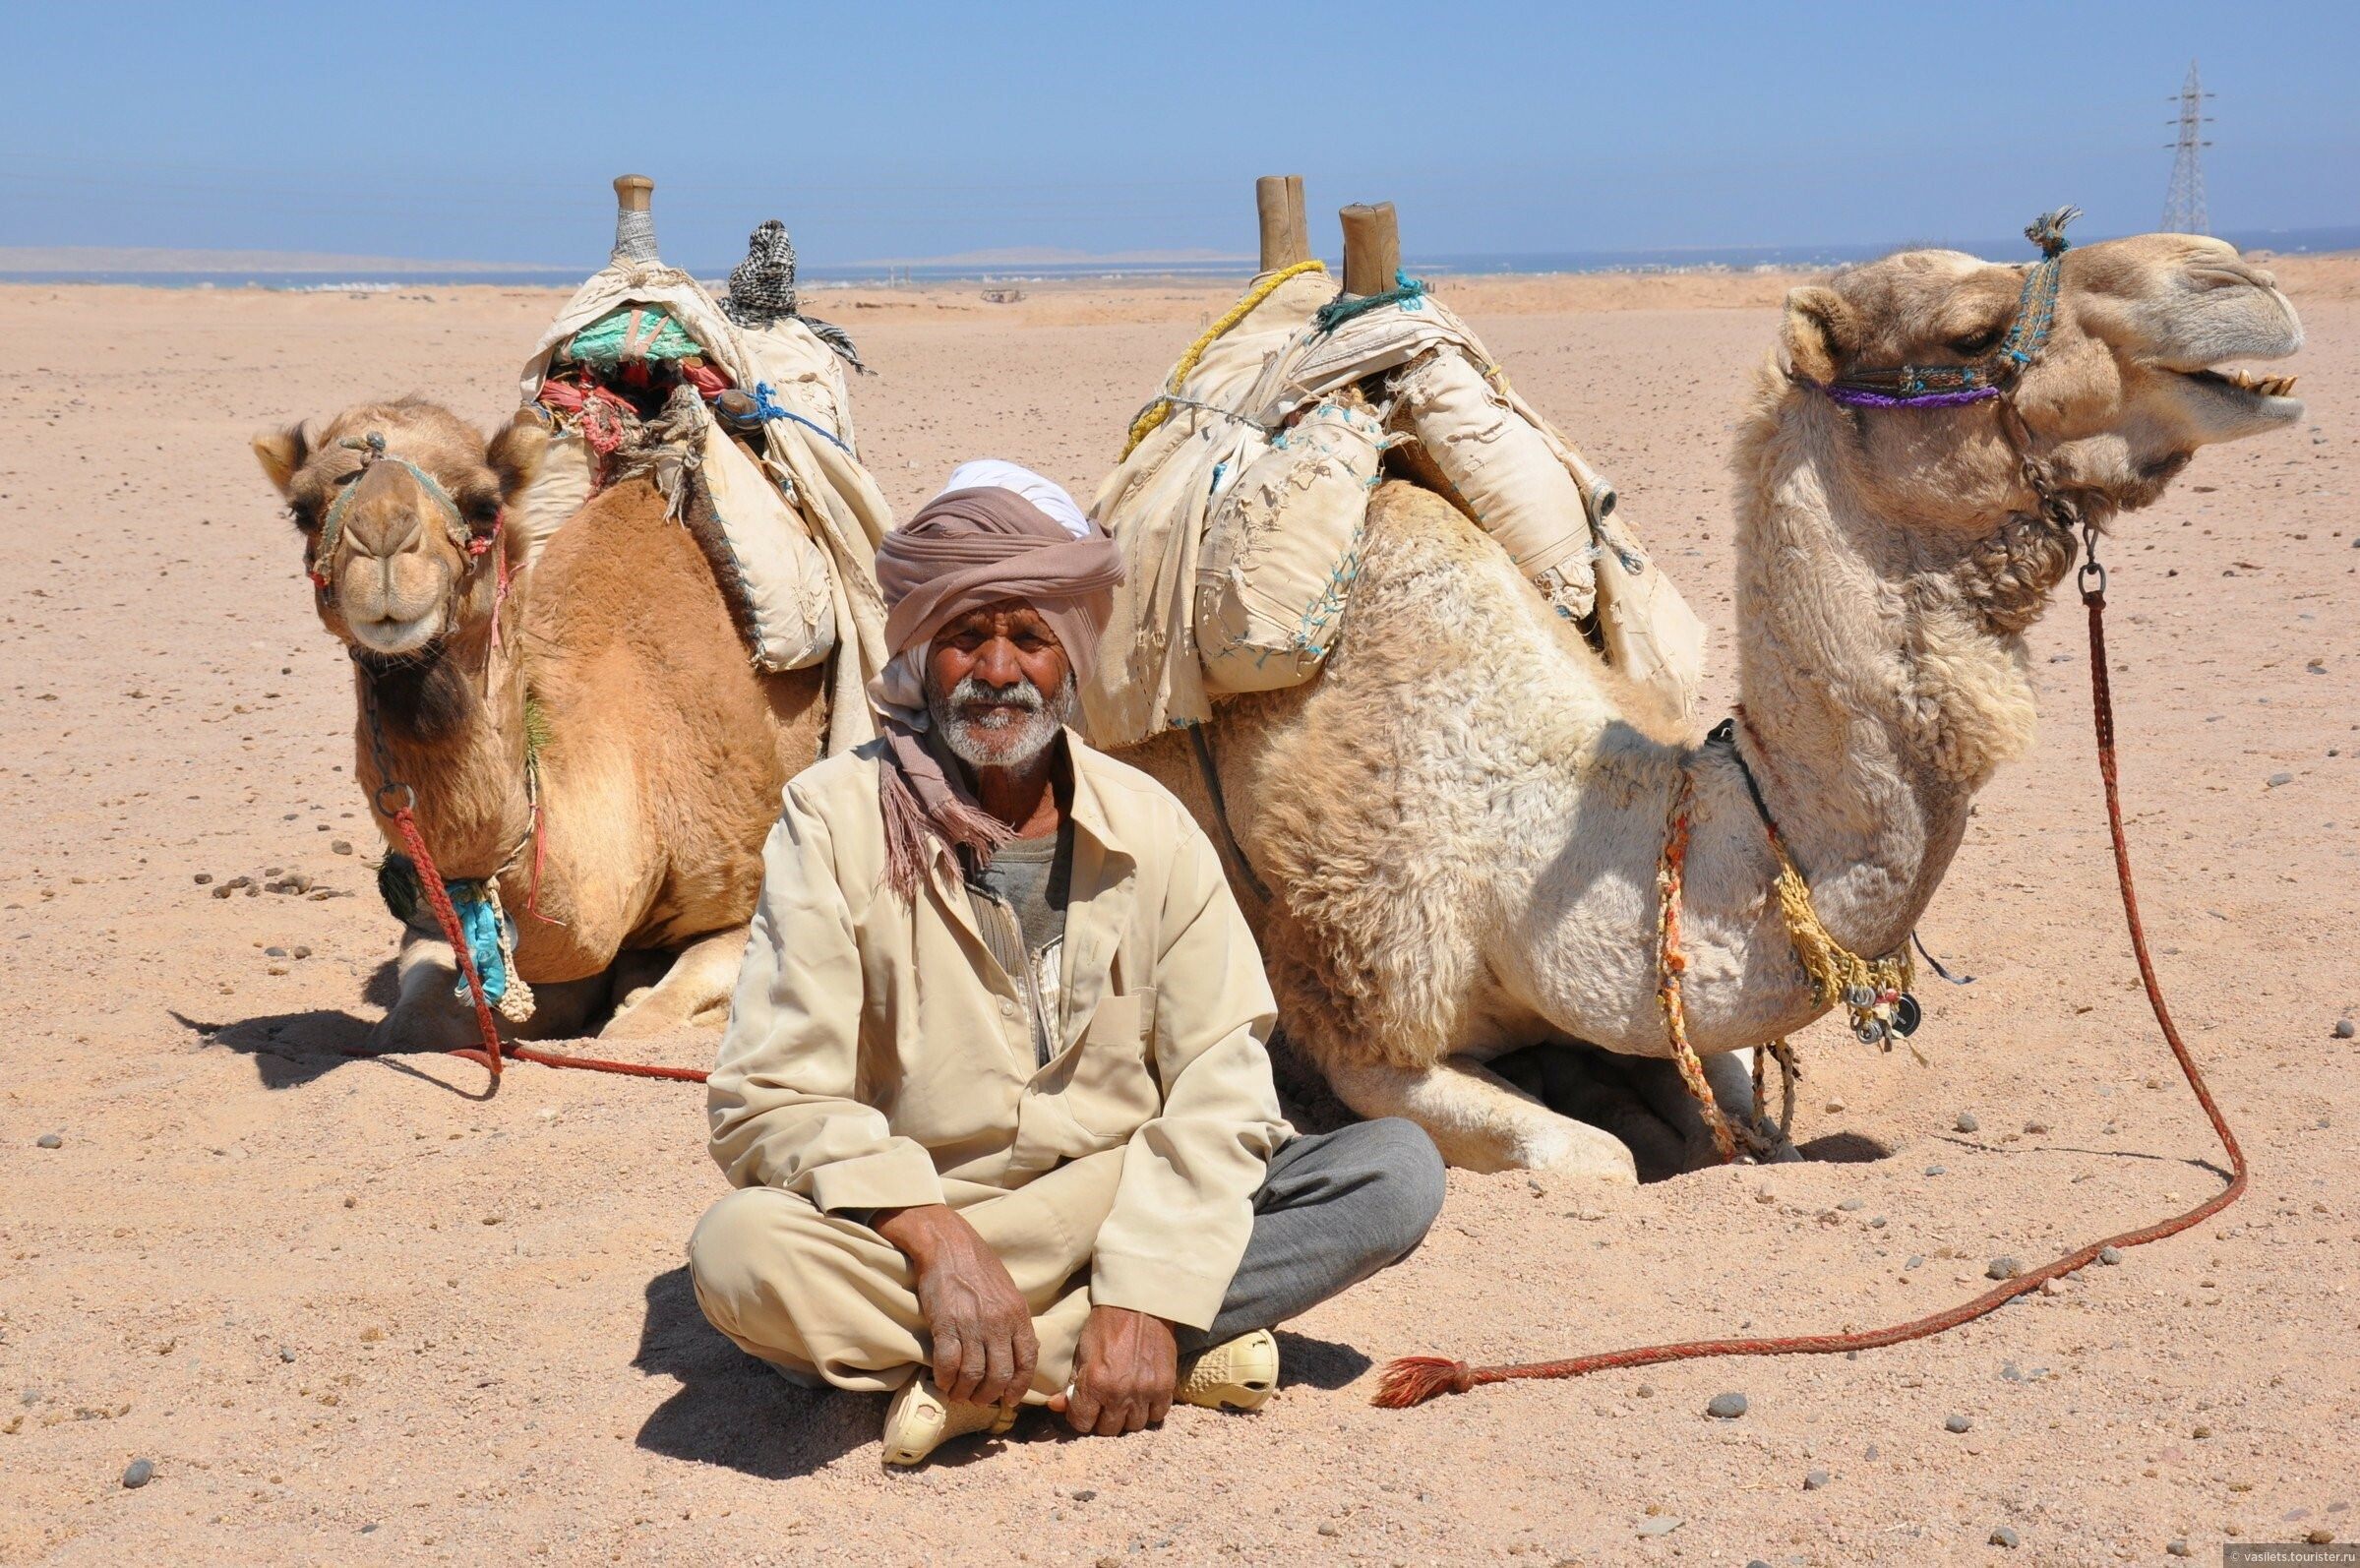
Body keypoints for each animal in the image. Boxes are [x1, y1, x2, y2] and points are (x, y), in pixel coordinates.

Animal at [253, 398, 825, 1048]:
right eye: (302, 509)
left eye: (485, 504)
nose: (382, 540)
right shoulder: (435, 927)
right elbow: (411, 1021)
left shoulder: (747, 891)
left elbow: (638, 1025)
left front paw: (637, 997)